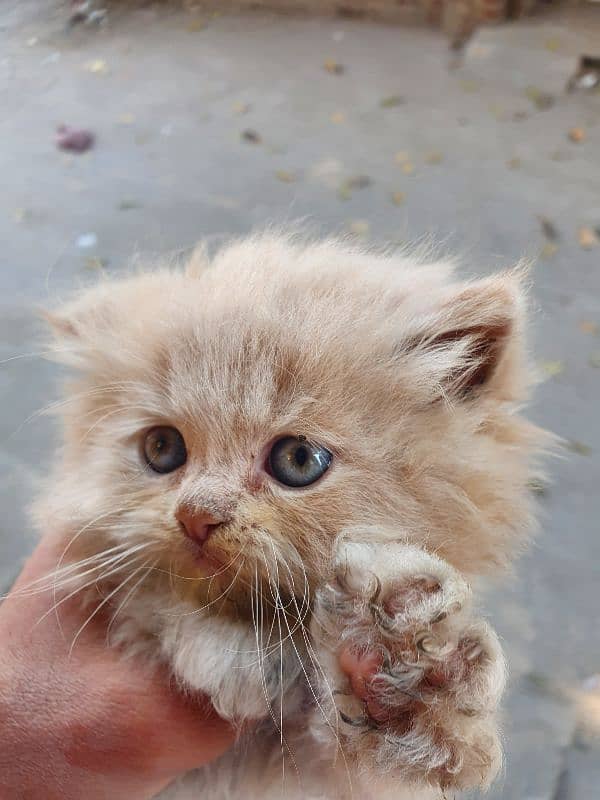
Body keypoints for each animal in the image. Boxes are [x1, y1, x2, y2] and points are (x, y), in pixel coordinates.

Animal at [35, 234, 548, 800]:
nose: (195, 515)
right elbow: (147, 602)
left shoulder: (327, 775)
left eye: (298, 460)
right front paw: (234, 656)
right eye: (162, 448)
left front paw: (409, 674)